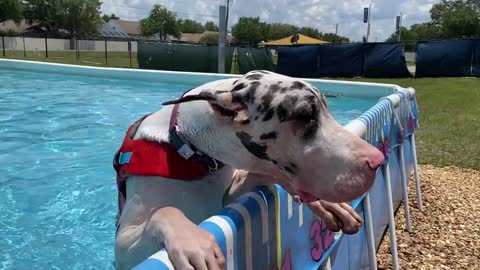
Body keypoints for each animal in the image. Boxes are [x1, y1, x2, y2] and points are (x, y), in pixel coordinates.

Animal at [114, 70, 384, 268]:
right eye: (304, 115)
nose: (377, 159)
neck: (191, 150)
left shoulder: (228, 193)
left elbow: (269, 174)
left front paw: (328, 206)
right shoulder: (123, 249)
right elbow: (164, 211)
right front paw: (195, 243)